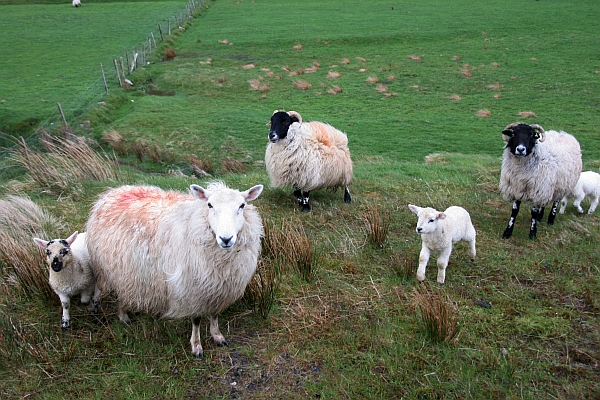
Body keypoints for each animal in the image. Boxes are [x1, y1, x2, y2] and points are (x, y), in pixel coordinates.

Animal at [85, 181, 264, 356]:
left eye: (242, 205)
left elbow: (214, 314)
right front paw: (196, 346)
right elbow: (196, 319)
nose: (226, 239)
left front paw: (218, 337)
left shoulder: (219, 289)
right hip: (108, 268)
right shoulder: (192, 289)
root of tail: (113, 191)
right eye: (209, 205)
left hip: (125, 270)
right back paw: (121, 316)